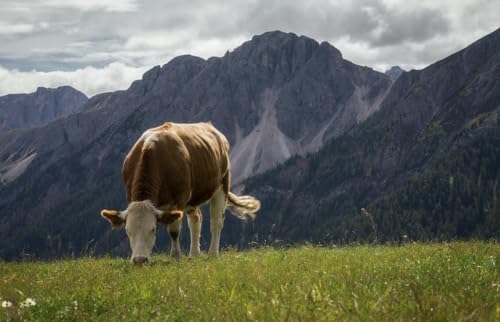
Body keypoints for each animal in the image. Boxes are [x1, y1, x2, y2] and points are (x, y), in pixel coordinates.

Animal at [99, 122, 260, 262]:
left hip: (222, 186)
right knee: (196, 219)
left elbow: (174, 230)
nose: (139, 260)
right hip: (193, 197)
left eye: (153, 229)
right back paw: (194, 254)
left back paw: (213, 253)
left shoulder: (179, 200)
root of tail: (210, 126)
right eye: (127, 231)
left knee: (216, 221)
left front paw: (175, 256)